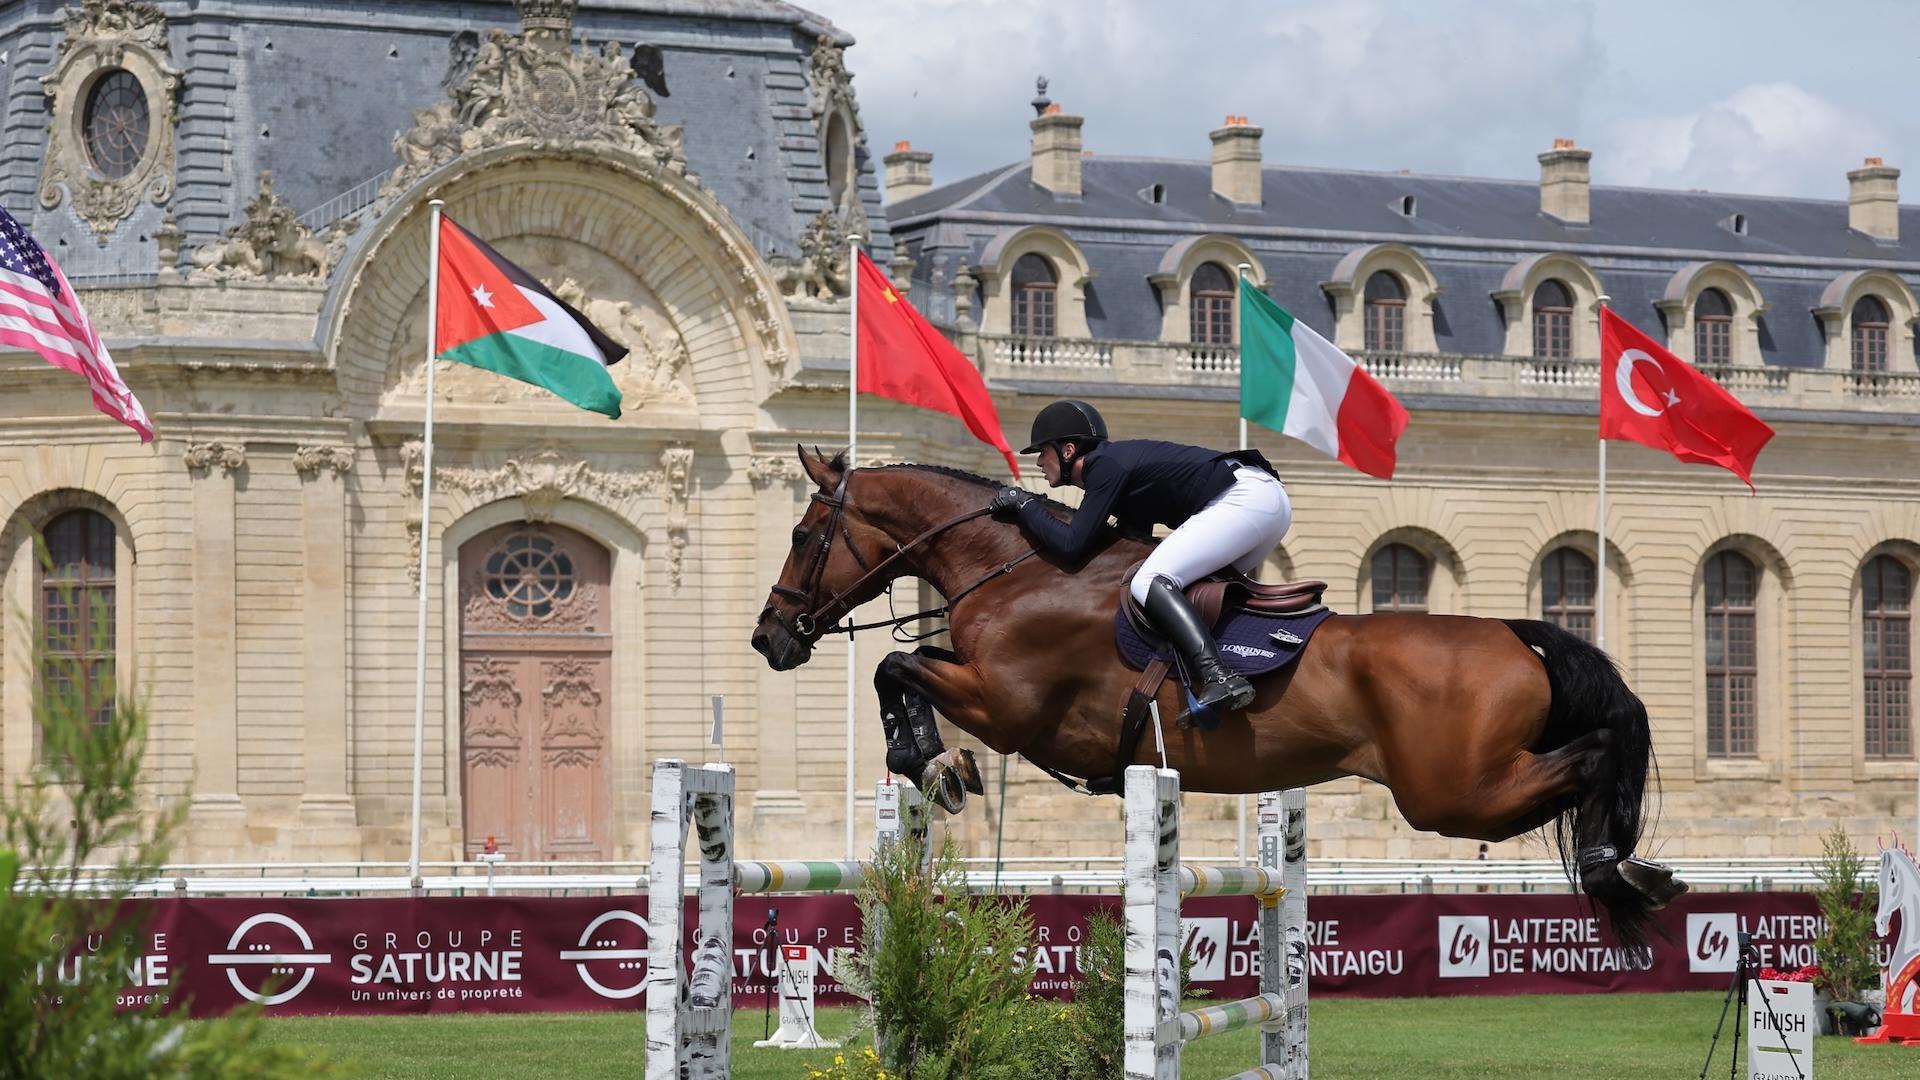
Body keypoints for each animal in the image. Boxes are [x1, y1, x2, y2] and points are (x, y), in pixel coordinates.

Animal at [748, 445, 1681, 949]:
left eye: (801, 533)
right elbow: (902, 668)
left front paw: (935, 764)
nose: (769, 639)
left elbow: (895, 669)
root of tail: (1514, 632)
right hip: (1462, 788)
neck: (1016, 567)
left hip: (1452, 794)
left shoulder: (1010, 708)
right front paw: (937, 768)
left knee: (1592, 756)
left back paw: (1616, 864)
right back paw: (1633, 868)